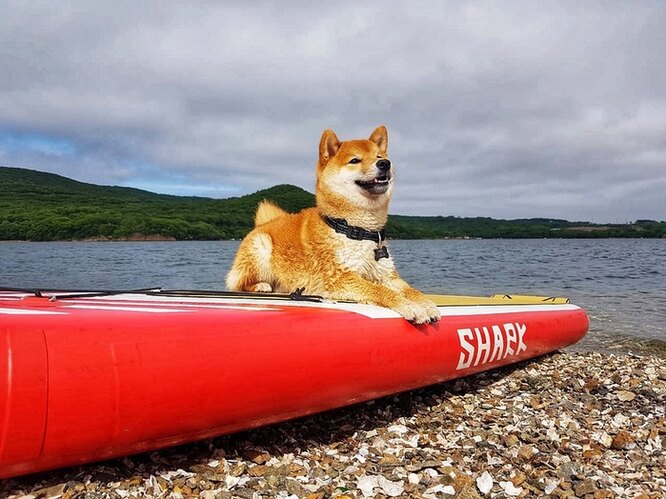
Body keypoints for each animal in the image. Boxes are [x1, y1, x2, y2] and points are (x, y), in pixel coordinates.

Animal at [227, 127, 440, 326]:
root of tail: (263, 224)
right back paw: (260, 286)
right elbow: (379, 291)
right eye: (355, 160)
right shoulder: (341, 277)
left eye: (380, 157)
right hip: (261, 248)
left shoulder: (387, 276)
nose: (385, 164)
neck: (358, 230)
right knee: (238, 284)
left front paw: (426, 303)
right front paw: (411, 306)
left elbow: (411, 290)